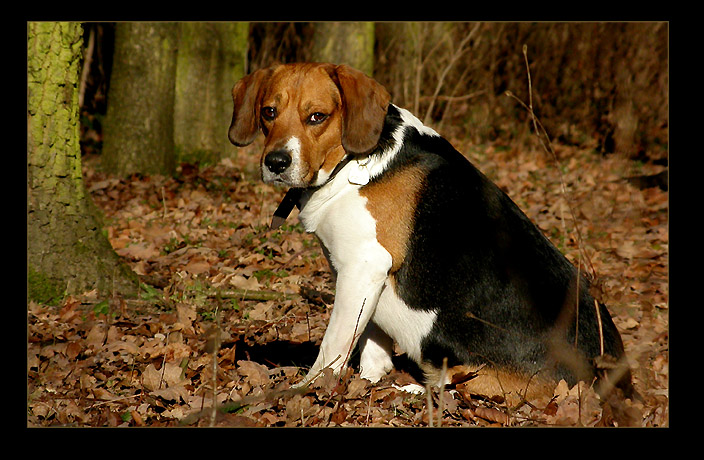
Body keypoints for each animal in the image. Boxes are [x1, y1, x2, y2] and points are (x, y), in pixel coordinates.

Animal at [228, 62, 632, 399]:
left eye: (317, 117)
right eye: (269, 112)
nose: (276, 162)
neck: (353, 163)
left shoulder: (363, 266)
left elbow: (333, 347)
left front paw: (306, 390)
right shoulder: (366, 278)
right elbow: (372, 344)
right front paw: (369, 384)